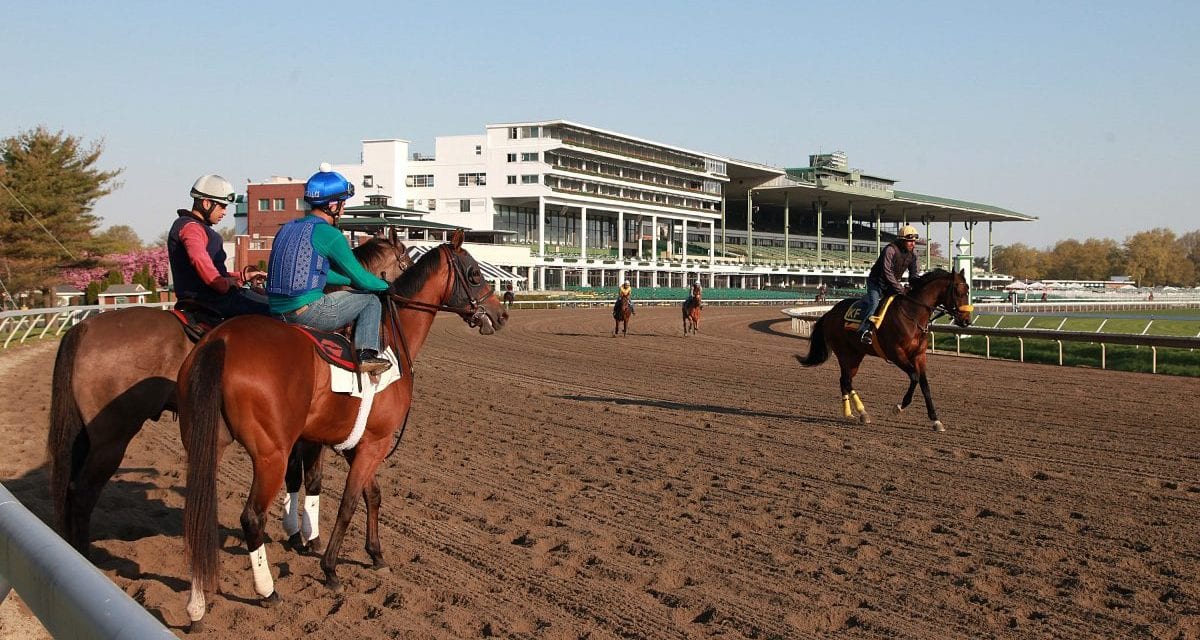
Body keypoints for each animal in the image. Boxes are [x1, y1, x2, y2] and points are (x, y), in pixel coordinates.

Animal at [48, 234, 412, 554]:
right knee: (82, 492)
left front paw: (298, 535)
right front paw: (310, 539)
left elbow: (296, 478)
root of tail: (84, 328)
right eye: (406, 260)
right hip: (112, 437)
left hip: (87, 434)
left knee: (70, 487)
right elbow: (312, 479)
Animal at [180, 229, 504, 629]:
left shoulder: (354, 444)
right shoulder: (373, 443)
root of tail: (219, 341)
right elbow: (348, 502)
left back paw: (196, 606)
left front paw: (374, 554)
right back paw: (267, 590)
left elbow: (372, 495)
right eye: (474, 274)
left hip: (205, 444)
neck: (388, 342)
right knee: (251, 517)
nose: (500, 313)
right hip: (271, 455)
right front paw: (330, 567)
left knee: (197, 514)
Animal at [796, 266, 974, 432]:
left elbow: (925, 385)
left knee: (844, 380)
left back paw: (849, 413)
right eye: (958, 291)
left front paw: (936, 420)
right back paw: (863, 412)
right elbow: (914, 377)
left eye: (968, 290)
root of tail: (829, 313)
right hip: (843, 352)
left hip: (856, 354)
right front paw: (898, 408)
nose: (966, 321)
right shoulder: (896, 353)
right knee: (846, 380)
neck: (912, 315)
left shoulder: (919, 355)